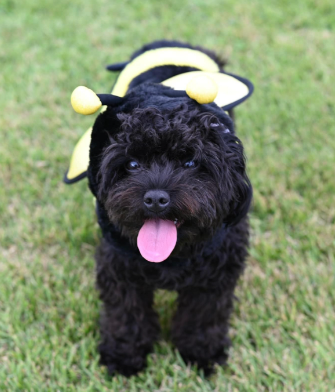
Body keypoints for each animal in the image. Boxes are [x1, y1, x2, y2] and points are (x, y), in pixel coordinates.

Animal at [73, 40, 252, 376]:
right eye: (132, 164)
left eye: (190, 162)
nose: (156, 198)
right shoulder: (119, 267)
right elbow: (126, 316)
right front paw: (124, 356)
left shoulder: (217, 274)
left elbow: (204, 317)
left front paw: (201, 354)